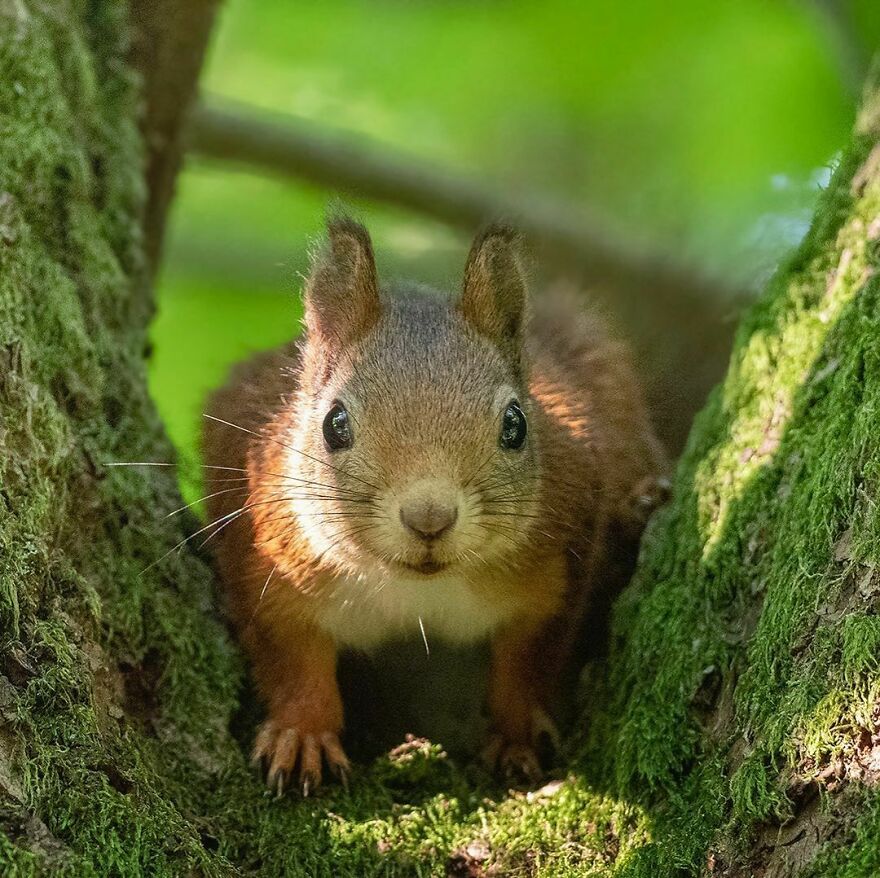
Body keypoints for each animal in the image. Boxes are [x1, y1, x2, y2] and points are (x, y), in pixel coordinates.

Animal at [202, 217, 668, 794]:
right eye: (335, 423)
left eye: (516, 424)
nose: (429, 518)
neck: (415, 592)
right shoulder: (265, 553)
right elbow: (288, 656)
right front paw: (301, 734)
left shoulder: (558, 569)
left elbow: (532, 659)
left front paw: (515, 737)